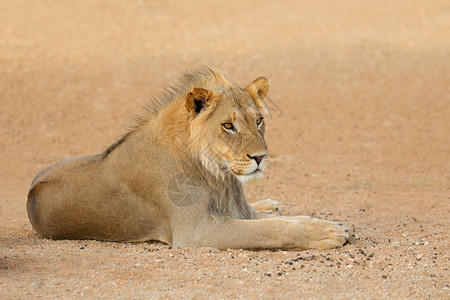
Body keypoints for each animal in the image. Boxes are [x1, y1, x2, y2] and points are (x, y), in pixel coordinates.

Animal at [26, 67, 354, 250]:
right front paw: (327, 232)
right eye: (228, 126)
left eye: (259, 120)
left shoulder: (235, 211)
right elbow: (270, 229)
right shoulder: (198, 231)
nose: (260, 157)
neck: (218, 175)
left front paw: (323, 223)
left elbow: (278, 221)